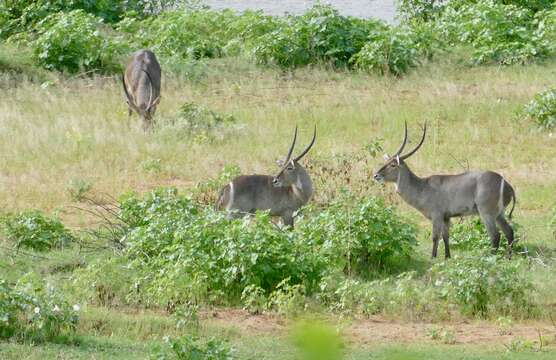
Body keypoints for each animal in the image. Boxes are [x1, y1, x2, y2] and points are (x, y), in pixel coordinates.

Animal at [374, 122, 516, 258]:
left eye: (393, 164)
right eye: (385, 162)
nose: (375, 175)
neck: (421, 187)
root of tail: (506, 184)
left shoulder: (436, 215)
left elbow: (435, 237)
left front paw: (433, 258)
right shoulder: (446, 217)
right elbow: (446, 237)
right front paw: (447, 257)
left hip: (486, 213)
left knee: (495, 235)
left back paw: (491, 258)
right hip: (499, 214)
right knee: (509, 232)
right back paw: (508, 257)